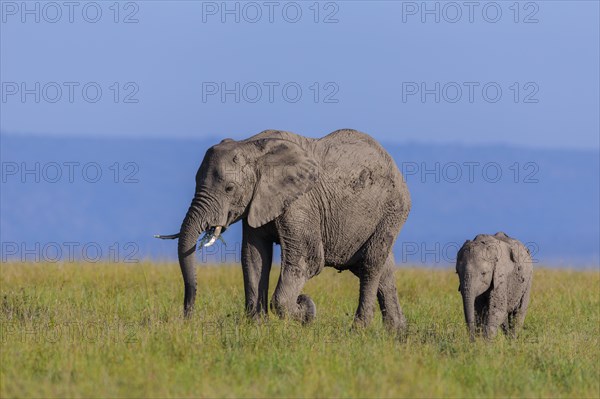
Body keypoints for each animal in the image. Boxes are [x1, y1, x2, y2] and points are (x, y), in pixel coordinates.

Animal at [155, 130, 410, 332]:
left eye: (229, 188)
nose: (187, 317)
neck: (251, 146)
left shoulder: (300, 202)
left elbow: (308, 260)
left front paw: (306, 310)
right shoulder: (255, 203)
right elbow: (254, 258)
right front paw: (257, 327)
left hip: (391, 212)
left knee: (370, 265)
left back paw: (358, 330)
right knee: (383, 270)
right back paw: (396, 334)